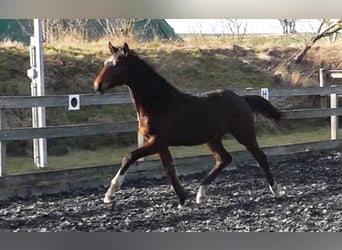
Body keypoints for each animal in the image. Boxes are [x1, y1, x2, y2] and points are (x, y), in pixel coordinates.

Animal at [93, 42, 284, 207]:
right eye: (105, 63)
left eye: (116, 65)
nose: (97, 86)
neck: (160, 104)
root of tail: (242, 98)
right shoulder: (161, 144)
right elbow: (169, 169)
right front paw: (182, 199)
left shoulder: (156, 141)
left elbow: (129, 157)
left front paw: (109, 195)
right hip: (212, 139)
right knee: (224, 159)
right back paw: (201, 194)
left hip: (244, 134)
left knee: (260, 157)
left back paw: (276, 190)